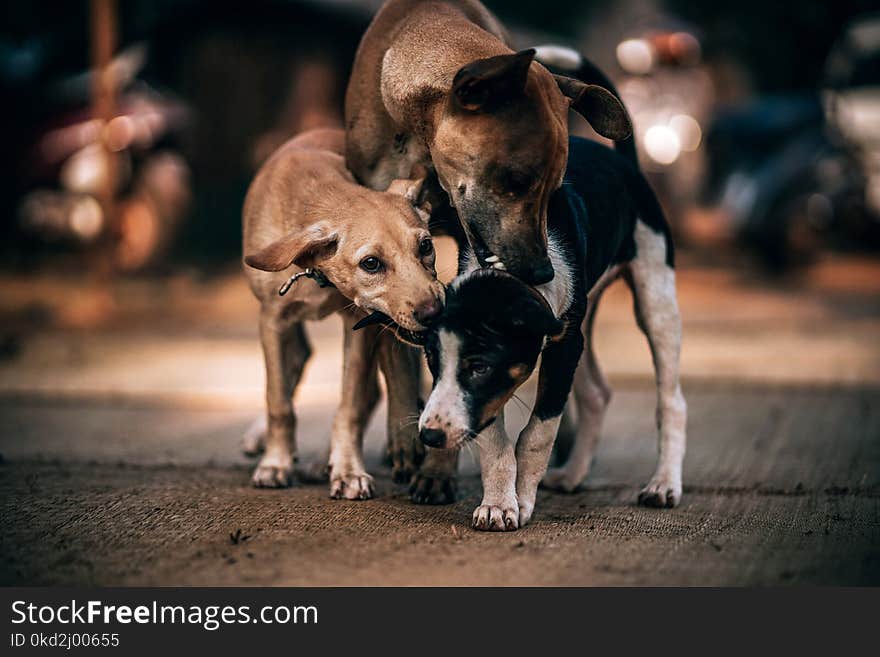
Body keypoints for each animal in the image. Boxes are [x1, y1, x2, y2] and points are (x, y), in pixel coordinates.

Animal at [242, 127, 444, 498]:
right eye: (371, 263)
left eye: (425, 246)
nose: (434, 311)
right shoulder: (273, 320)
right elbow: (278, 401)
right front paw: (275, 464)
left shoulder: (358, 324)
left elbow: (349, 406)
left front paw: (348, 470)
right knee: (295, 364)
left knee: (367, 392)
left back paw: (324, 460)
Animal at [414, 136, 688, 532]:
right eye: (432, 363)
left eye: (479, 367)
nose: (430, 436)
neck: (515, 267)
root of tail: (625, 162)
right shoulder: (544, 356)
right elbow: (494, 441)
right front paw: (498, 504)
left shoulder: (562, 347)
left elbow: (537, 434)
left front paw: (522, 501)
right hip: (586, 320)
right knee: (596, 394)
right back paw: (573, 473)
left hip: (655, 297)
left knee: (671, 401)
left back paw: (664, 483)